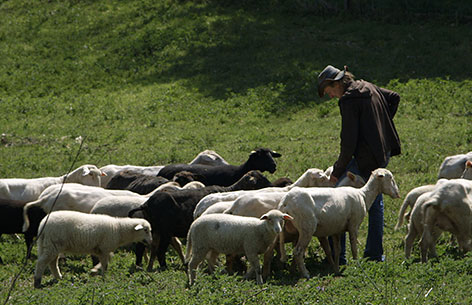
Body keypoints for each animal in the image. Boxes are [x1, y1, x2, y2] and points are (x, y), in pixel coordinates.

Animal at [127, 170, 272, 270]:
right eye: (262, 180)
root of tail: (146, 204)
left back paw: (139, 266)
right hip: (165, 231)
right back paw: (164, 267)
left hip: (153, 228)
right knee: (160, 250)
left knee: (140, 248)